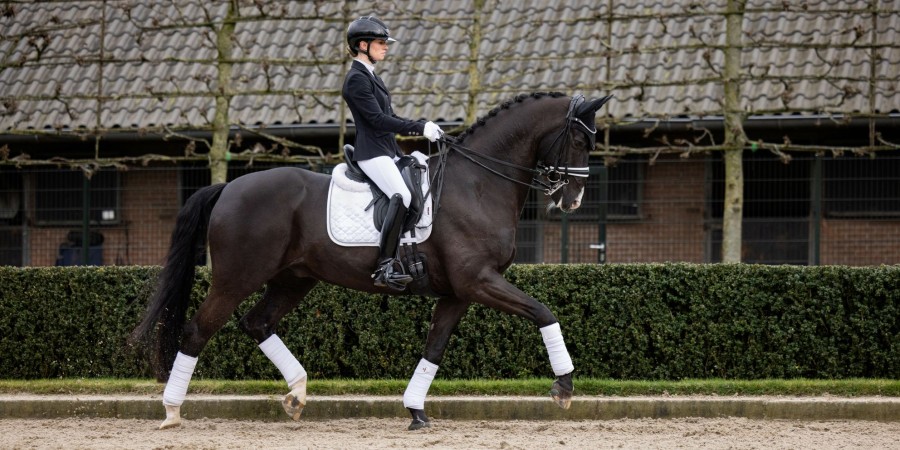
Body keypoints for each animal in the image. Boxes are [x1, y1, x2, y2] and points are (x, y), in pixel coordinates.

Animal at [132, 90, 612, 428]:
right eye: (578, 138)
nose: (573, 200)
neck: (476, 183)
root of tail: (229, 187)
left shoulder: (459, 291)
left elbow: (434, 347)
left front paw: (415, 411)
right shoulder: (479, 280)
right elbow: (543, 312)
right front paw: (564, 386)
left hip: (293, 279)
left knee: (257, 323)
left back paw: (297, 395)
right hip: (236, 278)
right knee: (197, 331)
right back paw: (172, 412)